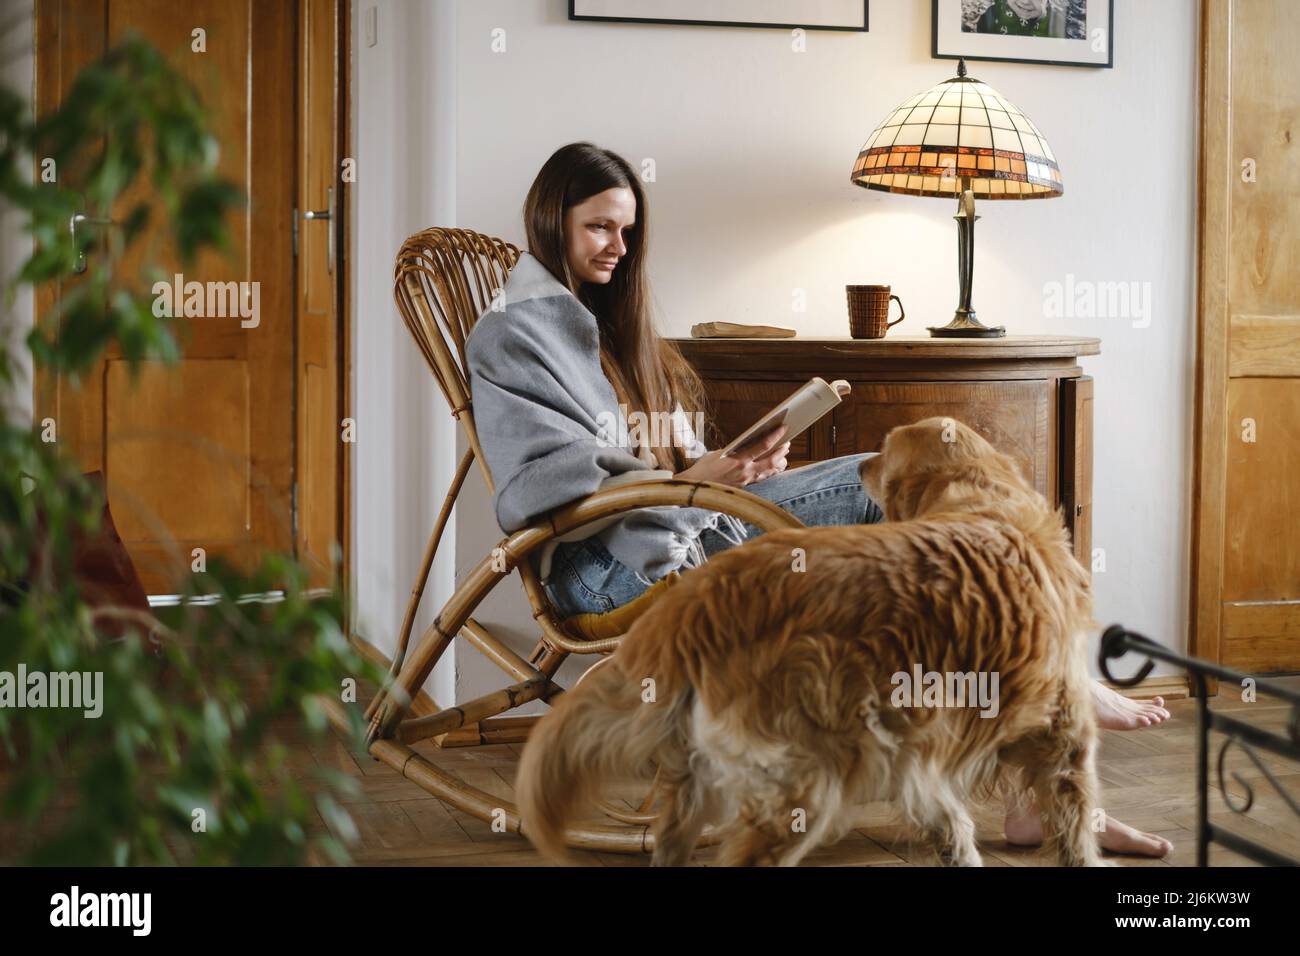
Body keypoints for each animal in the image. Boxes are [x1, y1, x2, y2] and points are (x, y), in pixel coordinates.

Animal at [512, 418, 1102, 868]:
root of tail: (703, 594)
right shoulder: (1065, 742)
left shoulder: (917, 752)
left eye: (886, 454)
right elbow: (1075, 833)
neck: (983, 501)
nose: (861, 464)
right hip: (806, 783)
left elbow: (949, 820)